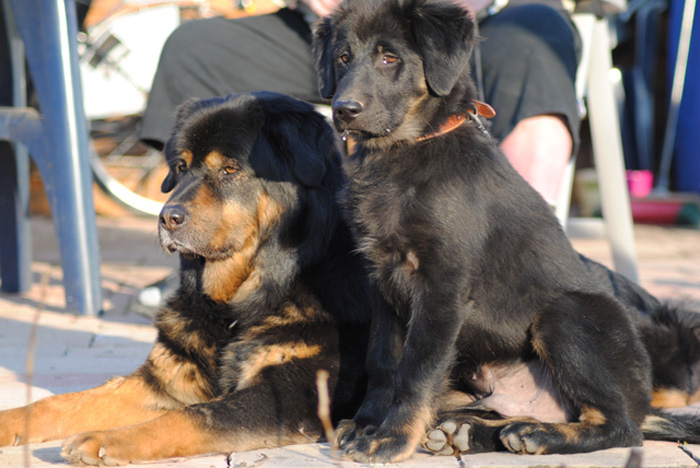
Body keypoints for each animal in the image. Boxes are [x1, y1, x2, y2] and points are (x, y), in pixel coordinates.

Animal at [0, 91, 372, 464]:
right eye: (181, 167)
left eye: (230, 169)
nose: (167, 217)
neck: (238, 305)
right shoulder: (164, 377)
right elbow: (63, 401)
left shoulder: (284, 395)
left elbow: (191, 415)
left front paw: (103, 439)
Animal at [314, 0, 700, 462]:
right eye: (343, 58)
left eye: (389, 58)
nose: (343, 109)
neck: (405, 151)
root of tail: (644, 402)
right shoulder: (382, 282)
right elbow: (383, 362)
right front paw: (367, 424)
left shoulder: (442, 286)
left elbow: (416, 369)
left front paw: (392, 438)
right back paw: (468, 431)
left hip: (566, 314)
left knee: (621, 428)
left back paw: (540, 435)